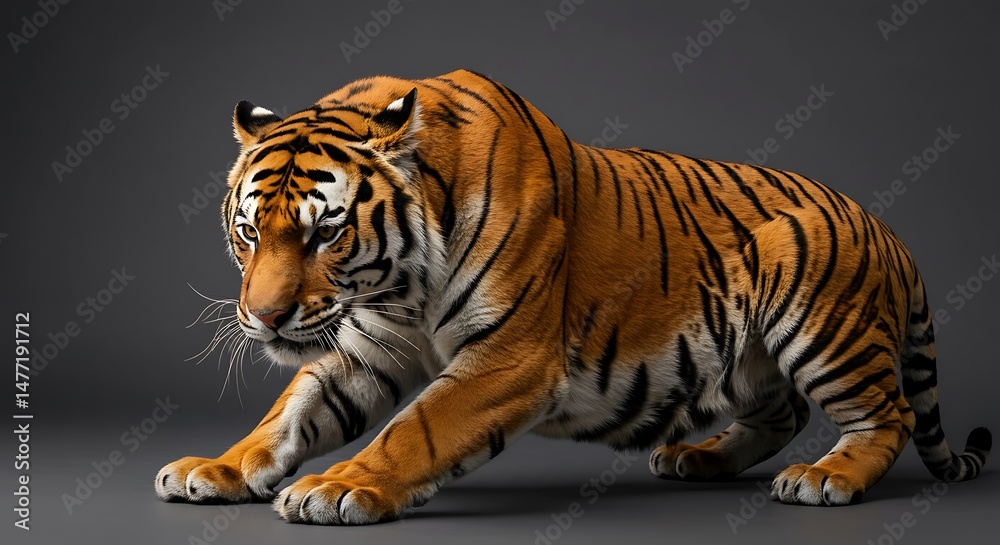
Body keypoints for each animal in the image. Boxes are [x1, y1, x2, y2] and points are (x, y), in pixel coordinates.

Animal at [155, 69, 991, 524]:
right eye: (248, 233)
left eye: (324, 234)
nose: (263, 316)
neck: (399, 285)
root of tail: (885, 226)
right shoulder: (369, 346)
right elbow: (289, 413)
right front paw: (218, 468)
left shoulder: (509, 358)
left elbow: (415, 429)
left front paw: (340, 485)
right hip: (747, 353)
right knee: (782, 411)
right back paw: (699, 458)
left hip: (817, 315)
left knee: (890, 414)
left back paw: (826, 478)